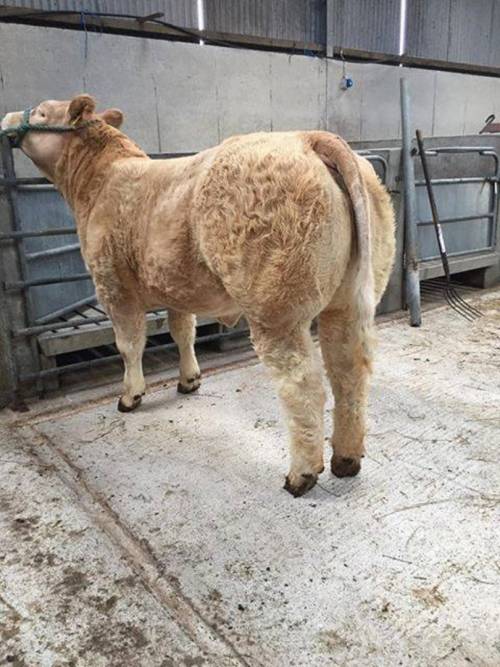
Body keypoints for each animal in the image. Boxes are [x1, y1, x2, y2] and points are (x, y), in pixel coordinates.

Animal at [1, 95, 395, 497]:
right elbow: (182, 332)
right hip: (345, 302)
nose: (9, 117)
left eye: (42, 112)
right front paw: (189, 380)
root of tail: (307, 137)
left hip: (276, 310)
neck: (100, 180)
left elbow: (129, 345)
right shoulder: (176, 287)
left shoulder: (112, 285)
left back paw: (302, 474)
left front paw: (130, 395)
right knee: (348, 373)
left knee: (304, 384)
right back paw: (346, 458)